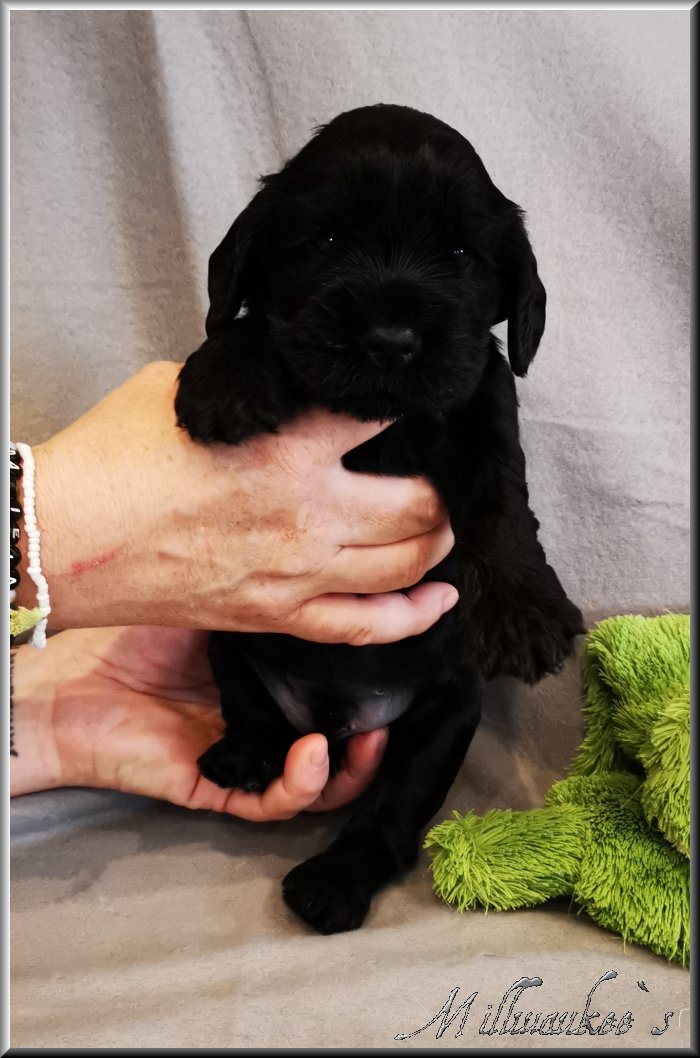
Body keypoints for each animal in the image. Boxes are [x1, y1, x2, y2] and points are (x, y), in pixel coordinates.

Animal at [175, 103, 584, 935]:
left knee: (388, 816)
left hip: (443, 716)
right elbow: (252, 319)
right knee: (248, 705)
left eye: (459, 254)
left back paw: (332, 883)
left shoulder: (484, 399)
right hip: (223, 635)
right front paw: (223, 378)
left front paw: (522, 610)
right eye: (326, 243)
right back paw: (246, 755)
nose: (391, 341)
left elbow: (502, 495)